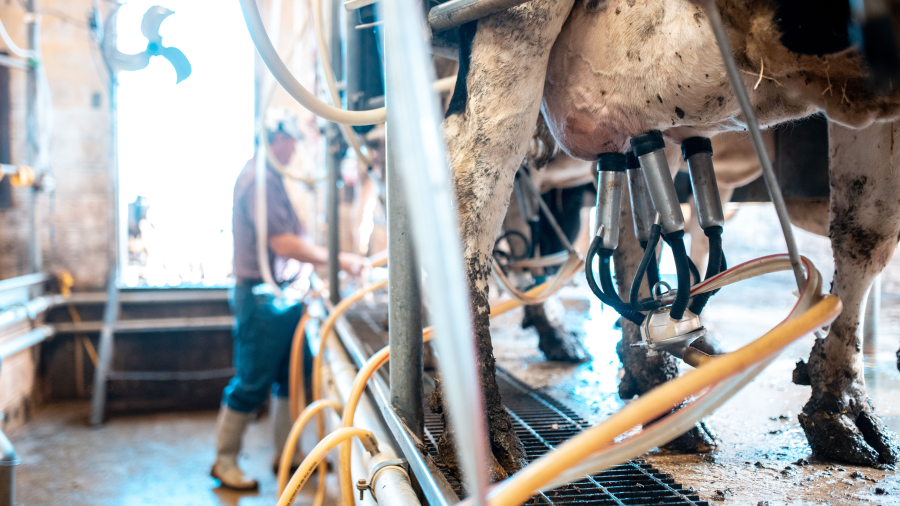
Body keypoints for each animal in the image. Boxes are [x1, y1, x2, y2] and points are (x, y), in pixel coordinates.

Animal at [428, 0, 900, 482]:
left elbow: (867, 231)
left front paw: (842, 409)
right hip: (508, 28)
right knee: (476, 179)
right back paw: (483, 432)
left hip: (648, 116)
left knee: (630, 223)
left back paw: (659, 390)